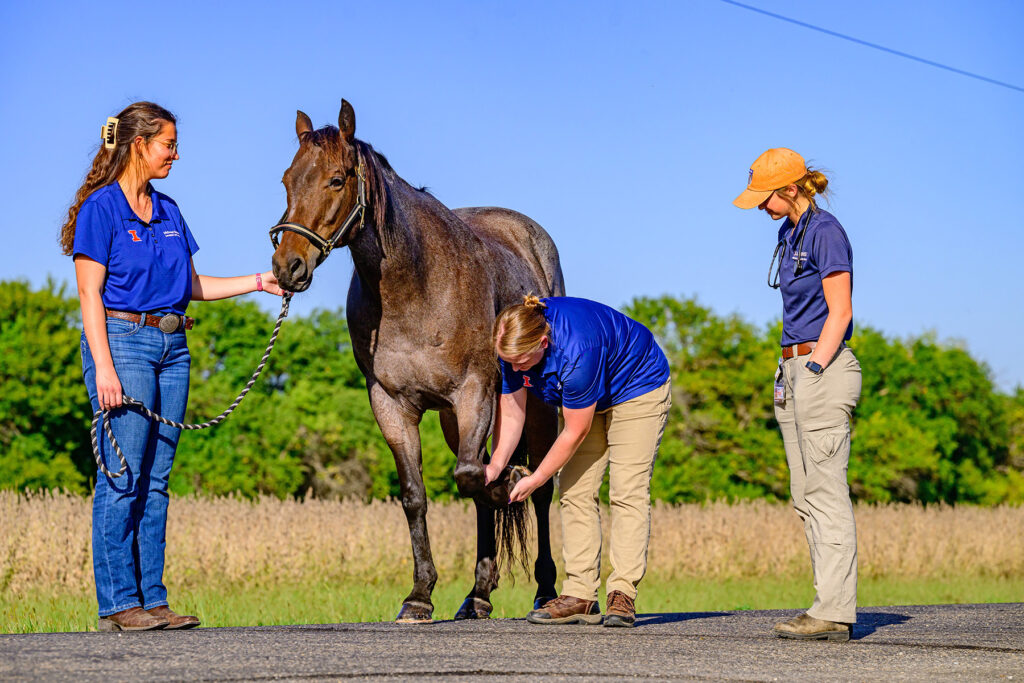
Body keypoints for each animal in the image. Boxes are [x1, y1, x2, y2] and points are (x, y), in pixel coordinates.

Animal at [270, 100, 565, 623]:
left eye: (337, 180)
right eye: (287, 179)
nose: (288, 267)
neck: (416, 286)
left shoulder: (473, 393)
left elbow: (476, 478)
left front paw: (510, 481)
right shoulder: (392, 405)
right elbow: (418, 495)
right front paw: (420, 595)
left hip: (533, 407)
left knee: (541, 491)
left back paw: (545, 591)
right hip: (453, 418)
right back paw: (477, 596)